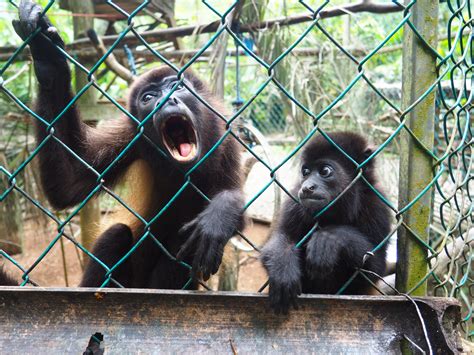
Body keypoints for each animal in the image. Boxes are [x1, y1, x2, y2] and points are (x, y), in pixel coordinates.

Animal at [13, 0, 246, 290]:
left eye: (177, 86)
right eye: (148, 97)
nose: (167, 100)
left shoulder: (226, 140)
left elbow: (236, 206)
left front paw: (220, 216)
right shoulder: (130, 136)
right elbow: (68, 183)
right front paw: (48, 58)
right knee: (117, 233)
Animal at [262, 133, 390, 314]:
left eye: (325, 171)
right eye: (306, 172)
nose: (307, 187)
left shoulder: (377, 206)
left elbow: (375, 267)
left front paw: (330, 238)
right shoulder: (294, 202)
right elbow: (276, 240)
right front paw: (283, 267)